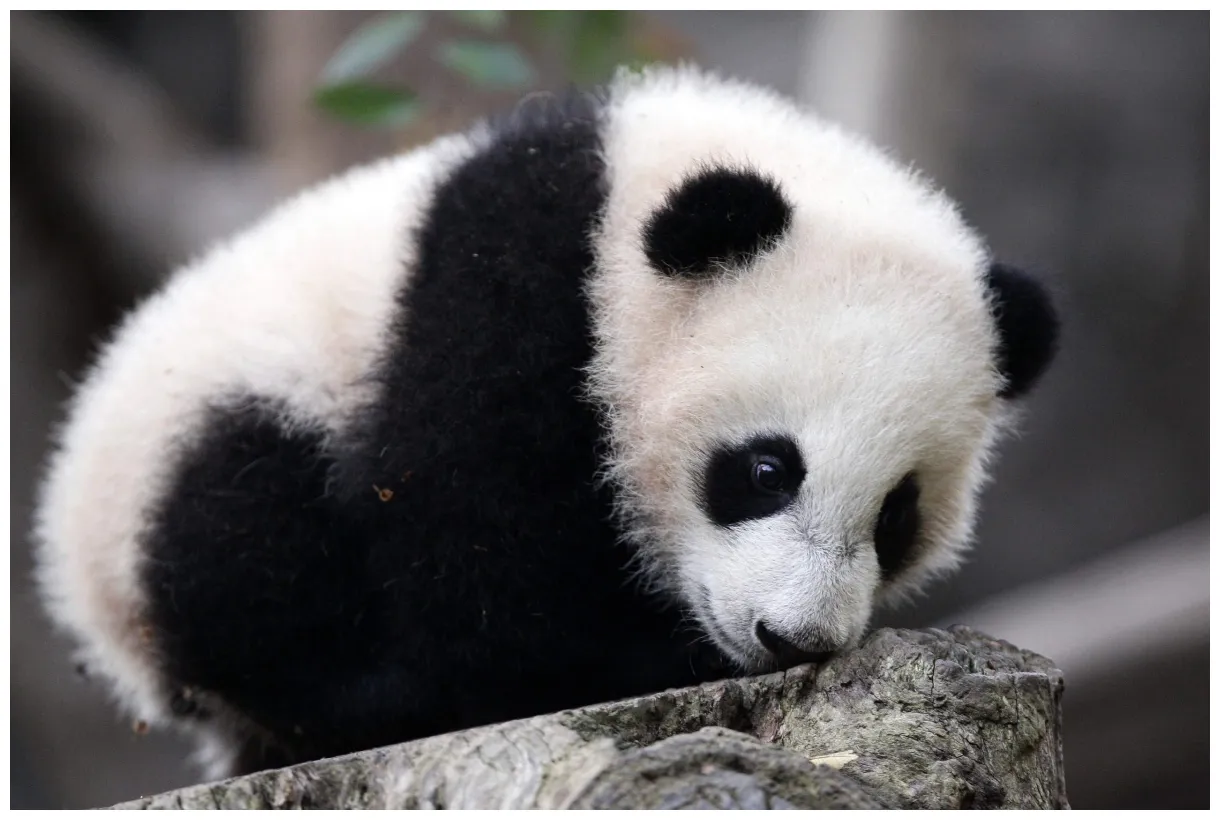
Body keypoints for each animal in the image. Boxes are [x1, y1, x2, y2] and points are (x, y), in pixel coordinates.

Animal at [32, 64, 1058, 780]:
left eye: (897, 517)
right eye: (767, 470)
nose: (792, 640)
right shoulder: (508, 297)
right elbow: (476, 569)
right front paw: (642, 657)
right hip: (212, 435)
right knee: (249, 557)